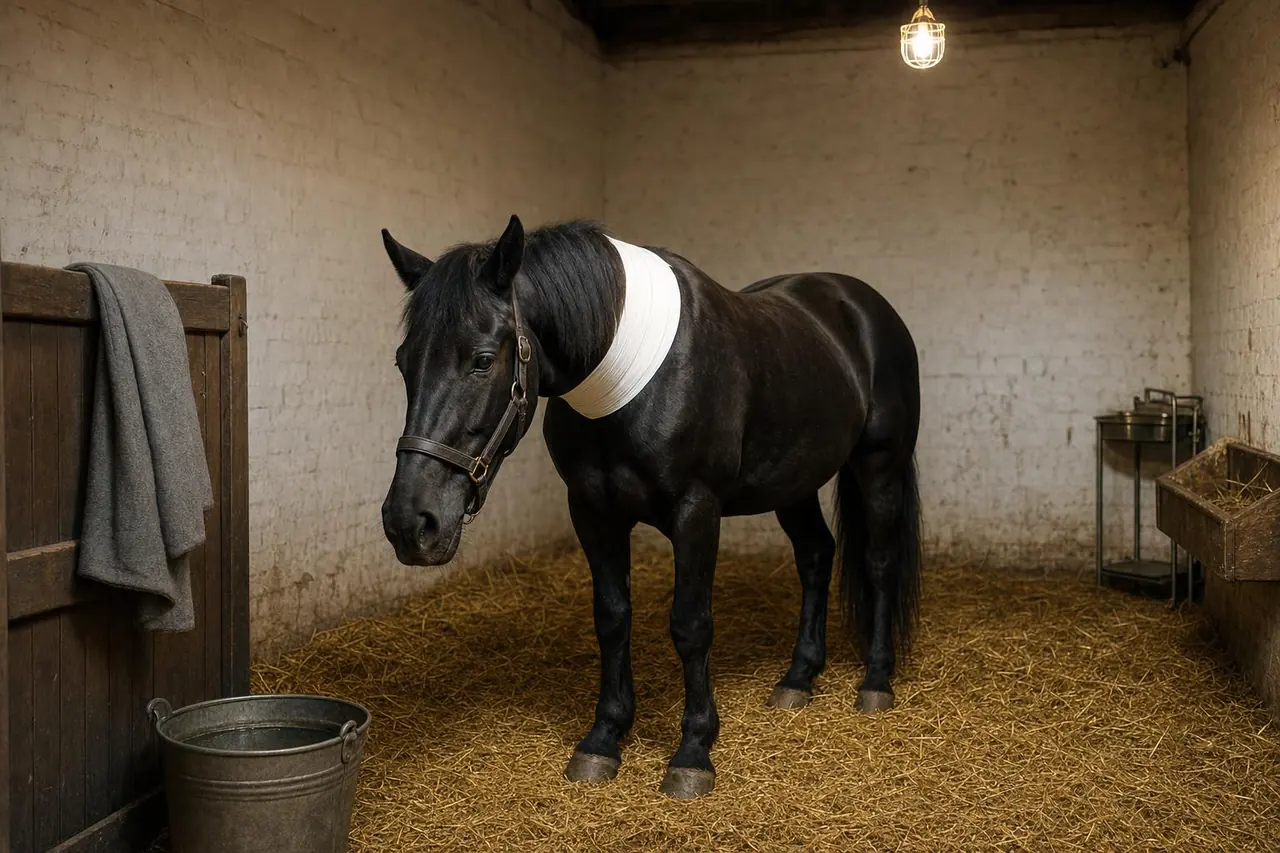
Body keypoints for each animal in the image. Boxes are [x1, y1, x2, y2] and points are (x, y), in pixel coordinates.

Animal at [379, 215, 923, 799]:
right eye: (403, 362)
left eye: (482, 360)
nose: (409, 524)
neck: (631, 385)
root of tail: (861, 305)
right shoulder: (592, 512)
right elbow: (612, 617)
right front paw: (603, 738)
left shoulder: (696, 511)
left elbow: (690, 625)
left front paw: (693, 752)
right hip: (793, 482)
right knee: (817, 556)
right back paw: (798, 679)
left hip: (878, 466)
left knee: (879, 563)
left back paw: (876, 682)